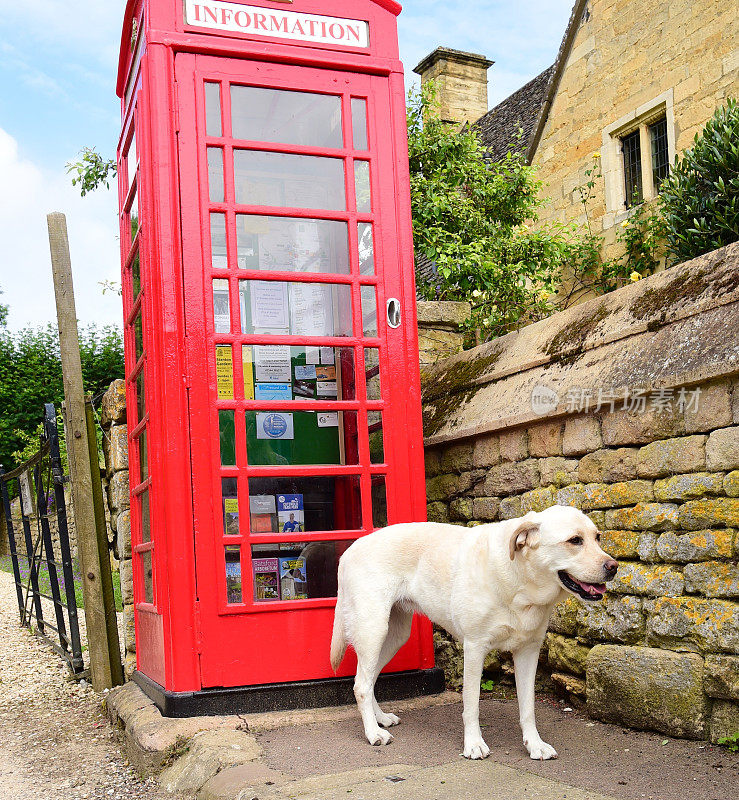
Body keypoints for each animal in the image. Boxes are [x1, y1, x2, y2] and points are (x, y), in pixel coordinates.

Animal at [330, 506, 620, 764]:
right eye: (575, 540)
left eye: (597, 537)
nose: (614, 566)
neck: (520, 583)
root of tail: (350, 549)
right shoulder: (474, 648)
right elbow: (472, 704)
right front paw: (474, 744)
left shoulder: (528, 651)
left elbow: (528, 708)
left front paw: (534, 745)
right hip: (373, 629)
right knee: (361, 684)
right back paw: (373, 733)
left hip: (393, 636)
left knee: (367, 680)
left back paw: (380, 719)